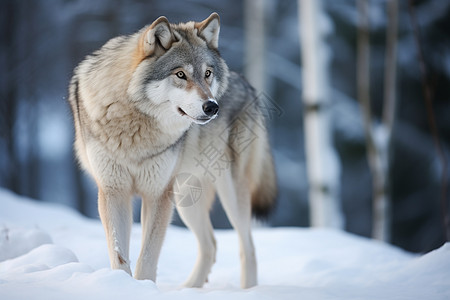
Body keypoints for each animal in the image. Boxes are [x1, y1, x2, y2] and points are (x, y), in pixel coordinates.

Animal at [68, 12, 276, 288]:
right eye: (180, 74)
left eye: (207, 73)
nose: (212, 107)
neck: (135, 125)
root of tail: (247, 84)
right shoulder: (114, 191)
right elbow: (119, 255)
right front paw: (122, 286)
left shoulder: (157, 194)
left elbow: (147, 257)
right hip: (186, 199)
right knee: (211, 245)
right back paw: (189, 289)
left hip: (227, 193)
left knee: (247, 247)